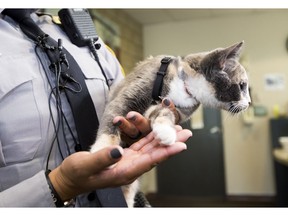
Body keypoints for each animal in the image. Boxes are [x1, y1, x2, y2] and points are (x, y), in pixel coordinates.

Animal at [90, 41, 250, 208]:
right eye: (242, 86)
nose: (249, 103)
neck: (185, 84)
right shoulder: (127, 97)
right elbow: (112, 121)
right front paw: (104, 149)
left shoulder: (171, 108)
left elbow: (164, 115)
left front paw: (165, 131)